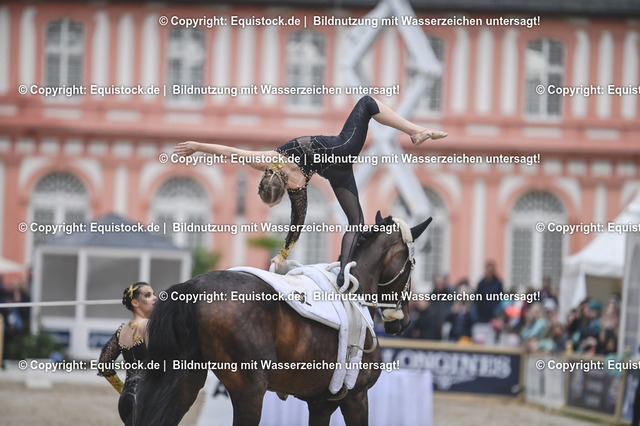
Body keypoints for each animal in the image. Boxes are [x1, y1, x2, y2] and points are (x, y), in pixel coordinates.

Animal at [133, 212, 432, 426]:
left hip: (185, 380)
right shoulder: (356, 398)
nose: (402, 322)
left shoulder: (320, 404)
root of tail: (193, 285)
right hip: (249, 392)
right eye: (412, 264)